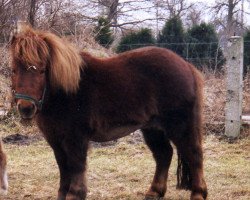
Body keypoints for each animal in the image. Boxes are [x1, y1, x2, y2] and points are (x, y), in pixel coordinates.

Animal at [9, 25, 207, 200]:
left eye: (42, 70)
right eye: (13, 70)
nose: (26, 107)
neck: (66, 91)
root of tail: (187, 66)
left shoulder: (76, 138)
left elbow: (76, 166)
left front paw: (75, 194)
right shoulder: (55, 140)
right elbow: (63, 167)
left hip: (180, 125)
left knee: (194, 154)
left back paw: (198, 193)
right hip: (153, 127)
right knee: (164, 154)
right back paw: (154, 192)